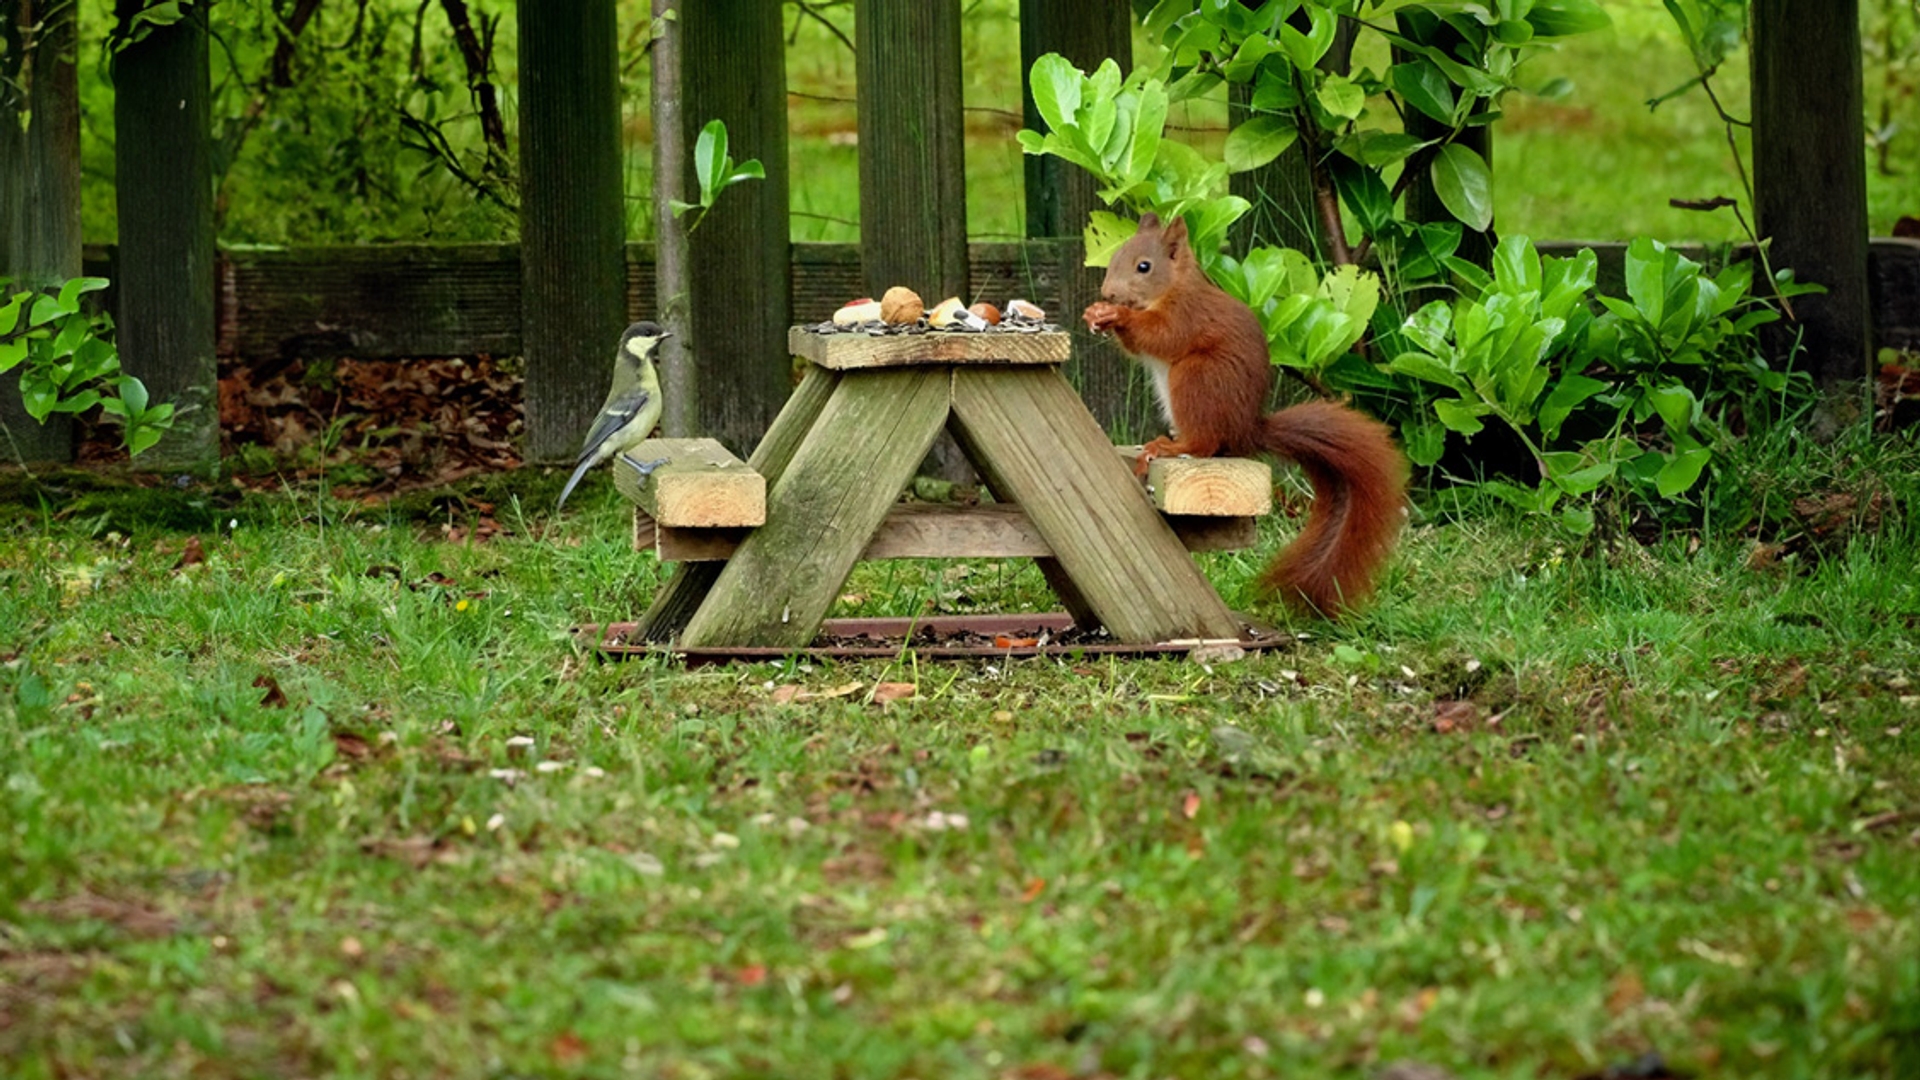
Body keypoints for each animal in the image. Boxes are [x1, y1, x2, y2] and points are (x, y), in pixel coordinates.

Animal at [1082, 211, 1413, 614]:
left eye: (1143, 266)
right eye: (1115, 256)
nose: (1108, 294)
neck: (1173, 289)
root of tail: (1247, 430)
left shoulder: (1186, 316)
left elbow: (1161, 336)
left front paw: (1118, 316)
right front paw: (1095, 314)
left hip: (1195, 378)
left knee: (1206, 443)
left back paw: (1171, 447)